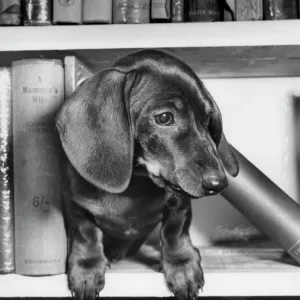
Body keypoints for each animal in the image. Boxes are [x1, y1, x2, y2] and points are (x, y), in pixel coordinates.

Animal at [56, 49, 239, 300]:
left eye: (207, 120)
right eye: (164, 118)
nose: (218, 183)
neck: (136, 183)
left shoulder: (178, 202)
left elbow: (174, 231)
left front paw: (181, 265)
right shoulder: (76, 205)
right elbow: (86, 233)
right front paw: (87, 268)